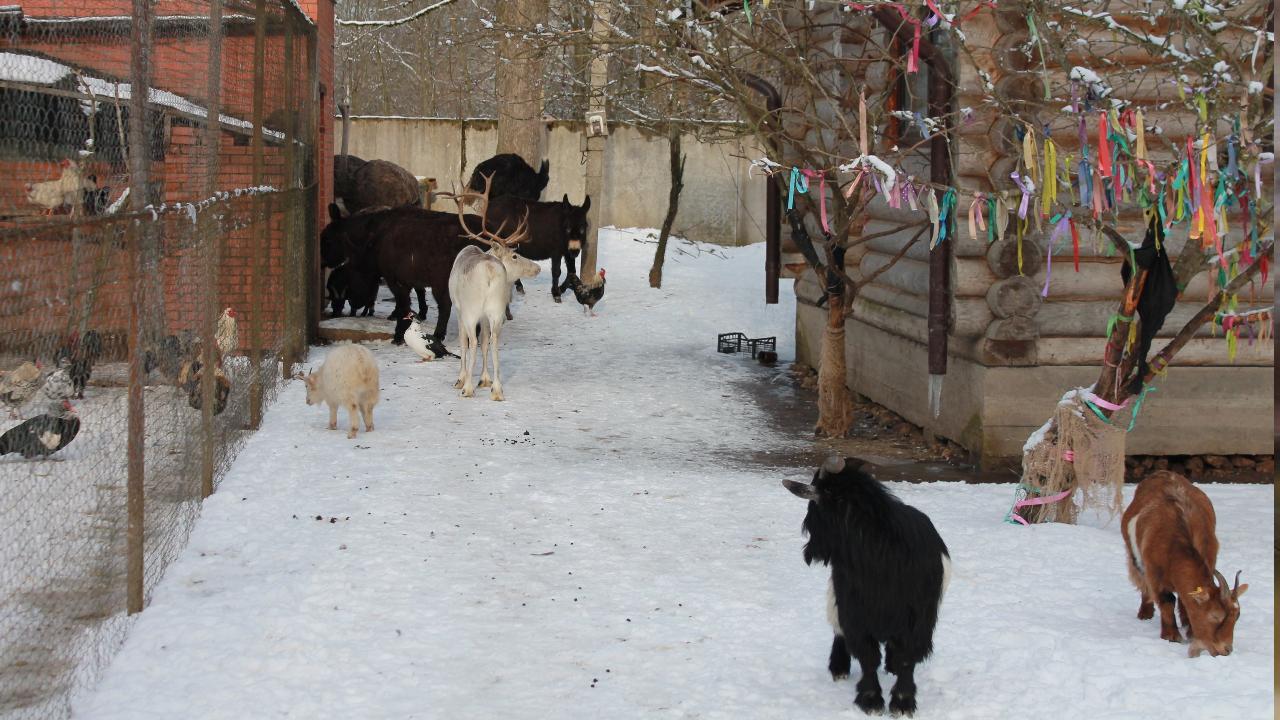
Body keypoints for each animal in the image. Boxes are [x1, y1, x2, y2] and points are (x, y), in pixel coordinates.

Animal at [445, 172, 540, 397]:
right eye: (515, 256)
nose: (538, 267)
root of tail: (489, 270)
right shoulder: (484, 316)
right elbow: (485, 342)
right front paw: (485, 379)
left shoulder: (459, 309)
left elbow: (465, 343)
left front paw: (462, 379)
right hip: (496, 309)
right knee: (494, 340)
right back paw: (496, 389)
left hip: (471, 309)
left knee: (471, 341)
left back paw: (468, 387)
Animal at [778, 456, 952, 712]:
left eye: (814, 507)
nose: (810, 552)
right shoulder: (855, 613)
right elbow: (868, 657)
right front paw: (870, 699)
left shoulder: (917, 619)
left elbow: (907, 658)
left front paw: (903, 701)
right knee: (839, 630)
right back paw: (839, 667)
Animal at [1126, 468, 1244, 653]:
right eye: (1214, 615)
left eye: (1237, 616)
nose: (1226, 650)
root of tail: (1162, 472)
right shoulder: (1154, 573)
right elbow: (1167, 600)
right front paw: (1171, 636)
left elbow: (1183, 599)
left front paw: (1190, 631)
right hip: (1134, 557)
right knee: (1142, 581)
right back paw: (1145, 612)